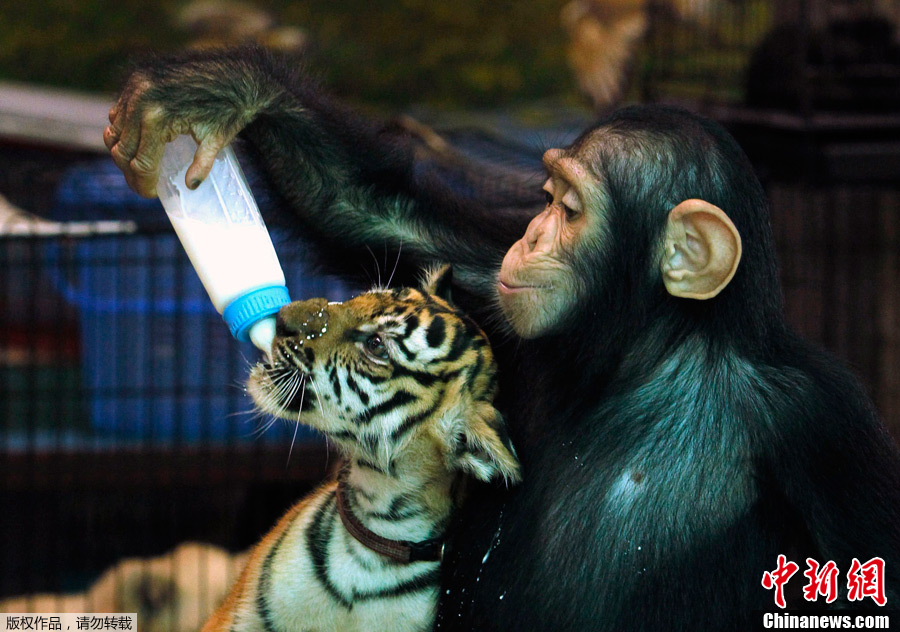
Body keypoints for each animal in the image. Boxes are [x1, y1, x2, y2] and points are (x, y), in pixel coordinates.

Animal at [105, 47, 900, 628]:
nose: (532, 235)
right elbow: (373, 207)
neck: (648, 357)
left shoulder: (819, 426)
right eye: (545, 198)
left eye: (571, 209)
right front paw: (210, 91)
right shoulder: (492, 284)